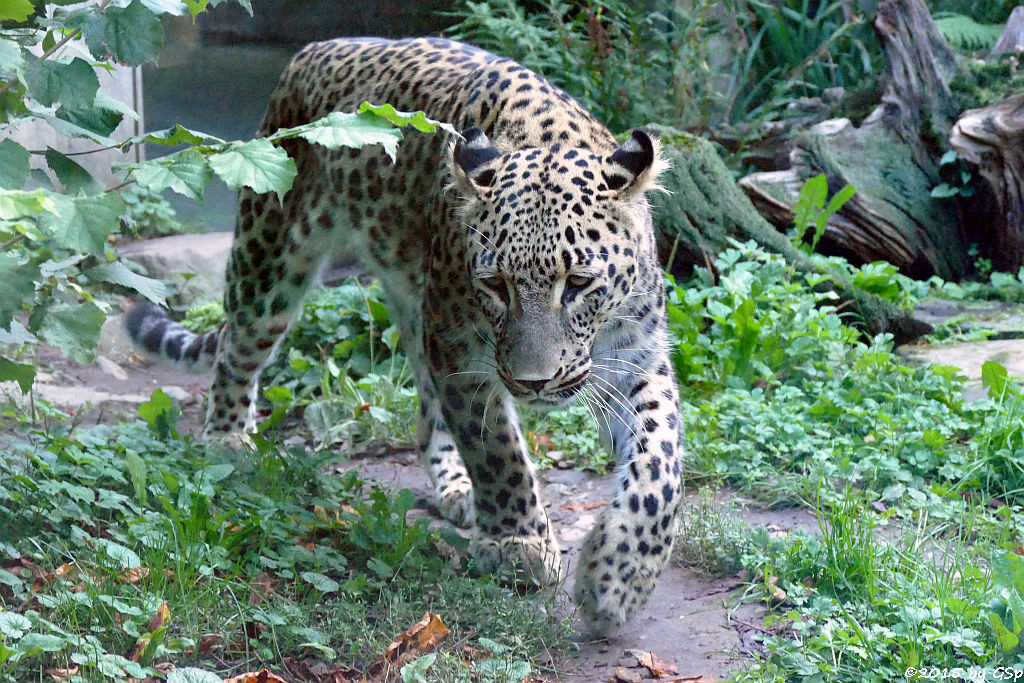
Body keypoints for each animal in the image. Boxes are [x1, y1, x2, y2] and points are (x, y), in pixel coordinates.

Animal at [128, 37, 684, 634]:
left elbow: (660, 466)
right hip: (272, 255)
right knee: (237, 346)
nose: (534, 384)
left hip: (411, 305)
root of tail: (311, 51)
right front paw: (517, 543)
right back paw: (226, 440)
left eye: (578, 283)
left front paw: (618, 578)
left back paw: (456, 489)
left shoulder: (637, 357)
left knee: (424, 413)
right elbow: (496, 448)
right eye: (496, 285)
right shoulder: (459, 347)